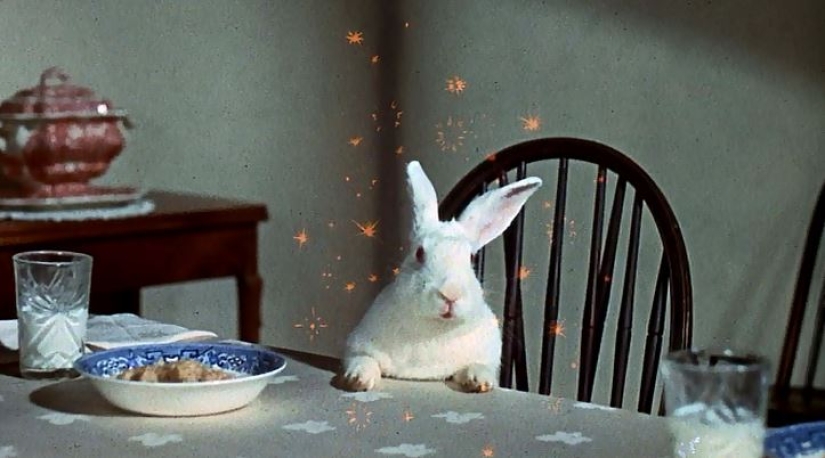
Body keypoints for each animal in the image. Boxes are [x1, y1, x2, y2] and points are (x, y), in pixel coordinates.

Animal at [340, 160, 542, 393]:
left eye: (471, 257)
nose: (450, 293)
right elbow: (363, 359)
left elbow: (478, 366)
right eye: (419, 253)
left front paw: (480, 382)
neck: (437, 328)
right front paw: (358, 379)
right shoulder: (356, 346)